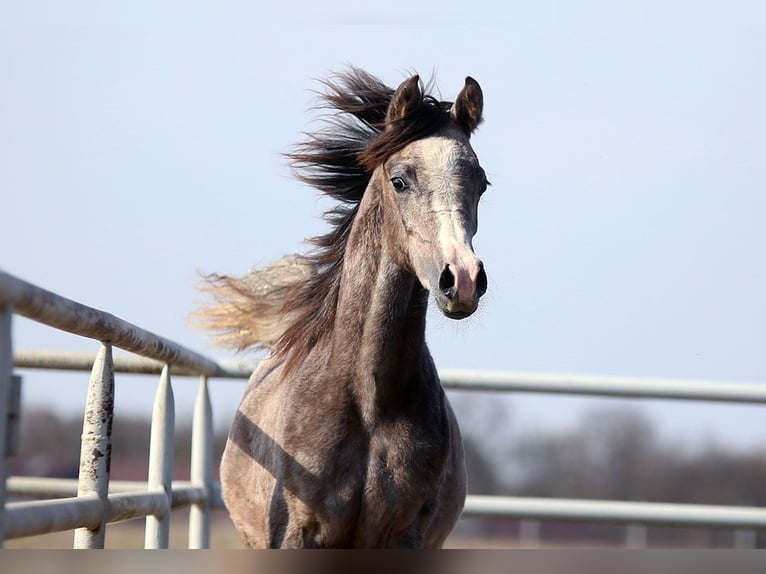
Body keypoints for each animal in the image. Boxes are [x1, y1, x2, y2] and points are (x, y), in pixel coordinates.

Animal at [197, 68, 489, 548]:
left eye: (481, 183)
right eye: (400, 180)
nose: (462, 279)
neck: (368, 403)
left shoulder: (405, 536)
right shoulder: (297, 534)